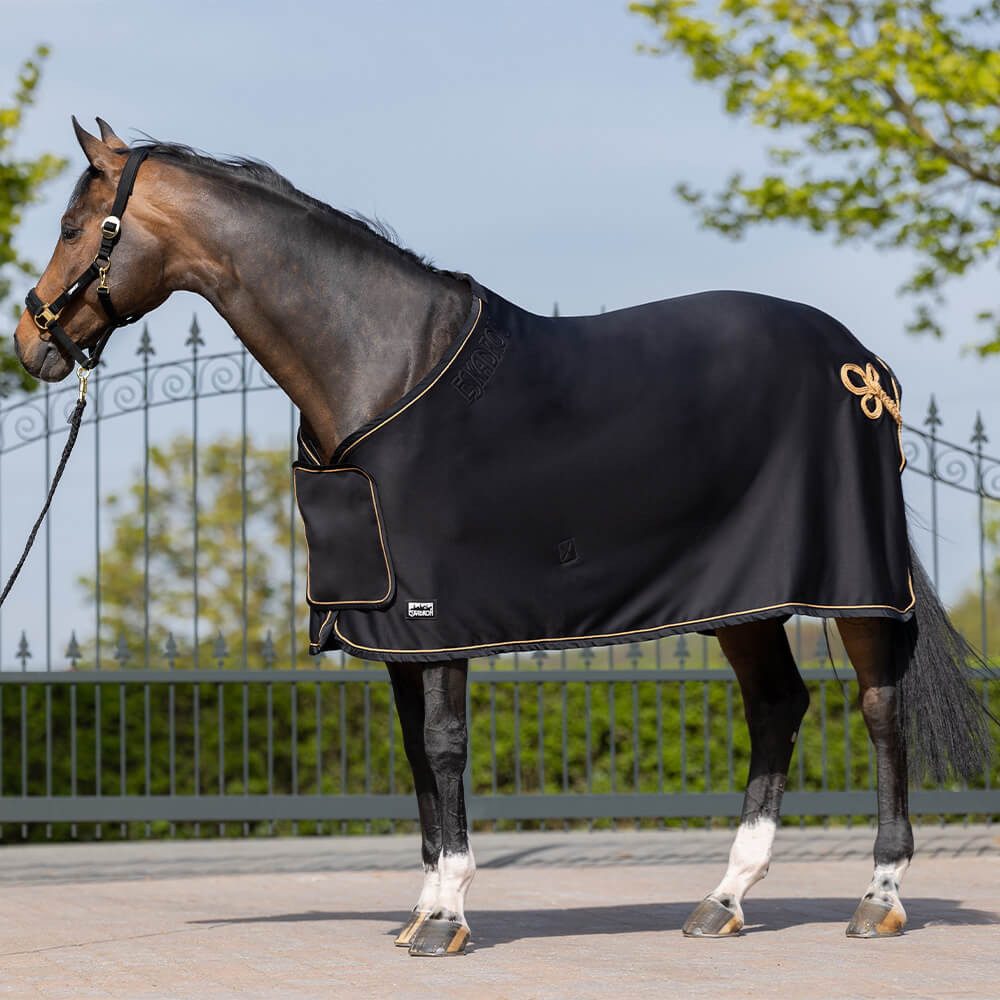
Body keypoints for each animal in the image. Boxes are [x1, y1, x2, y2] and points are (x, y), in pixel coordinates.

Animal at [13, 119, 990, 957]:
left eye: (73, 226)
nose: (29, 339)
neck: (384, 363)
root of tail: (865, 366)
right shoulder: (393, 628)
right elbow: (415, 754)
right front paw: (422, 909)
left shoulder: (440, 618)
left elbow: (445, 747)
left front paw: (446, 918)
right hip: (746, 599)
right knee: (778, 705)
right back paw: (723, 900)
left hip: (851, 586)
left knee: (879, 710)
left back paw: (878, 899)